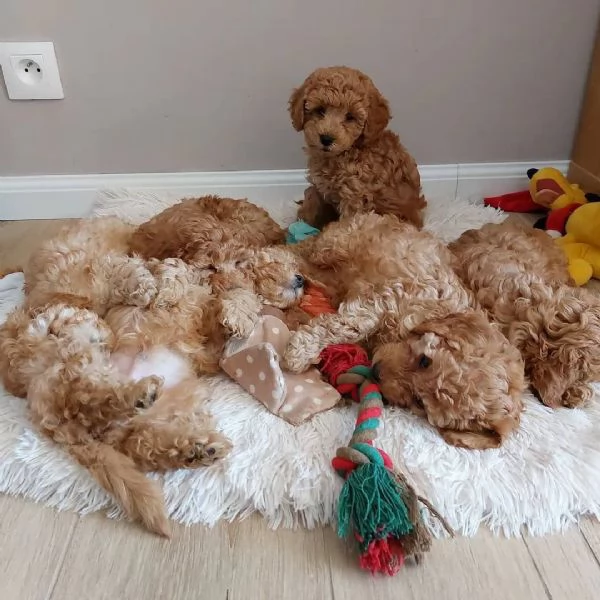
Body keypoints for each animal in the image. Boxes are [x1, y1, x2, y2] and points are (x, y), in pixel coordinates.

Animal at [0, 304, 230, 536]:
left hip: (145, 420)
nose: (102, 334)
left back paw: (196, 451)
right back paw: (137, 394)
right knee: (90, 400)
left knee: (142, 445)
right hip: (78, 384)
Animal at [284, 213, 524, 448]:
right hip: (338, 242)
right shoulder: (388, 296)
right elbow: (351, 325)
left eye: (420, 402)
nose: (376, 371)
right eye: (425, 360)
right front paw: (299, 353)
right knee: (309, 248)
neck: (435, 313)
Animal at [288, 66, 424, 230]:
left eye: (350, 117)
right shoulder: (319, 188)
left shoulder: (354, 196)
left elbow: (347, 222)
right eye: (320, 110)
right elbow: (312, 207)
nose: (326, 139)